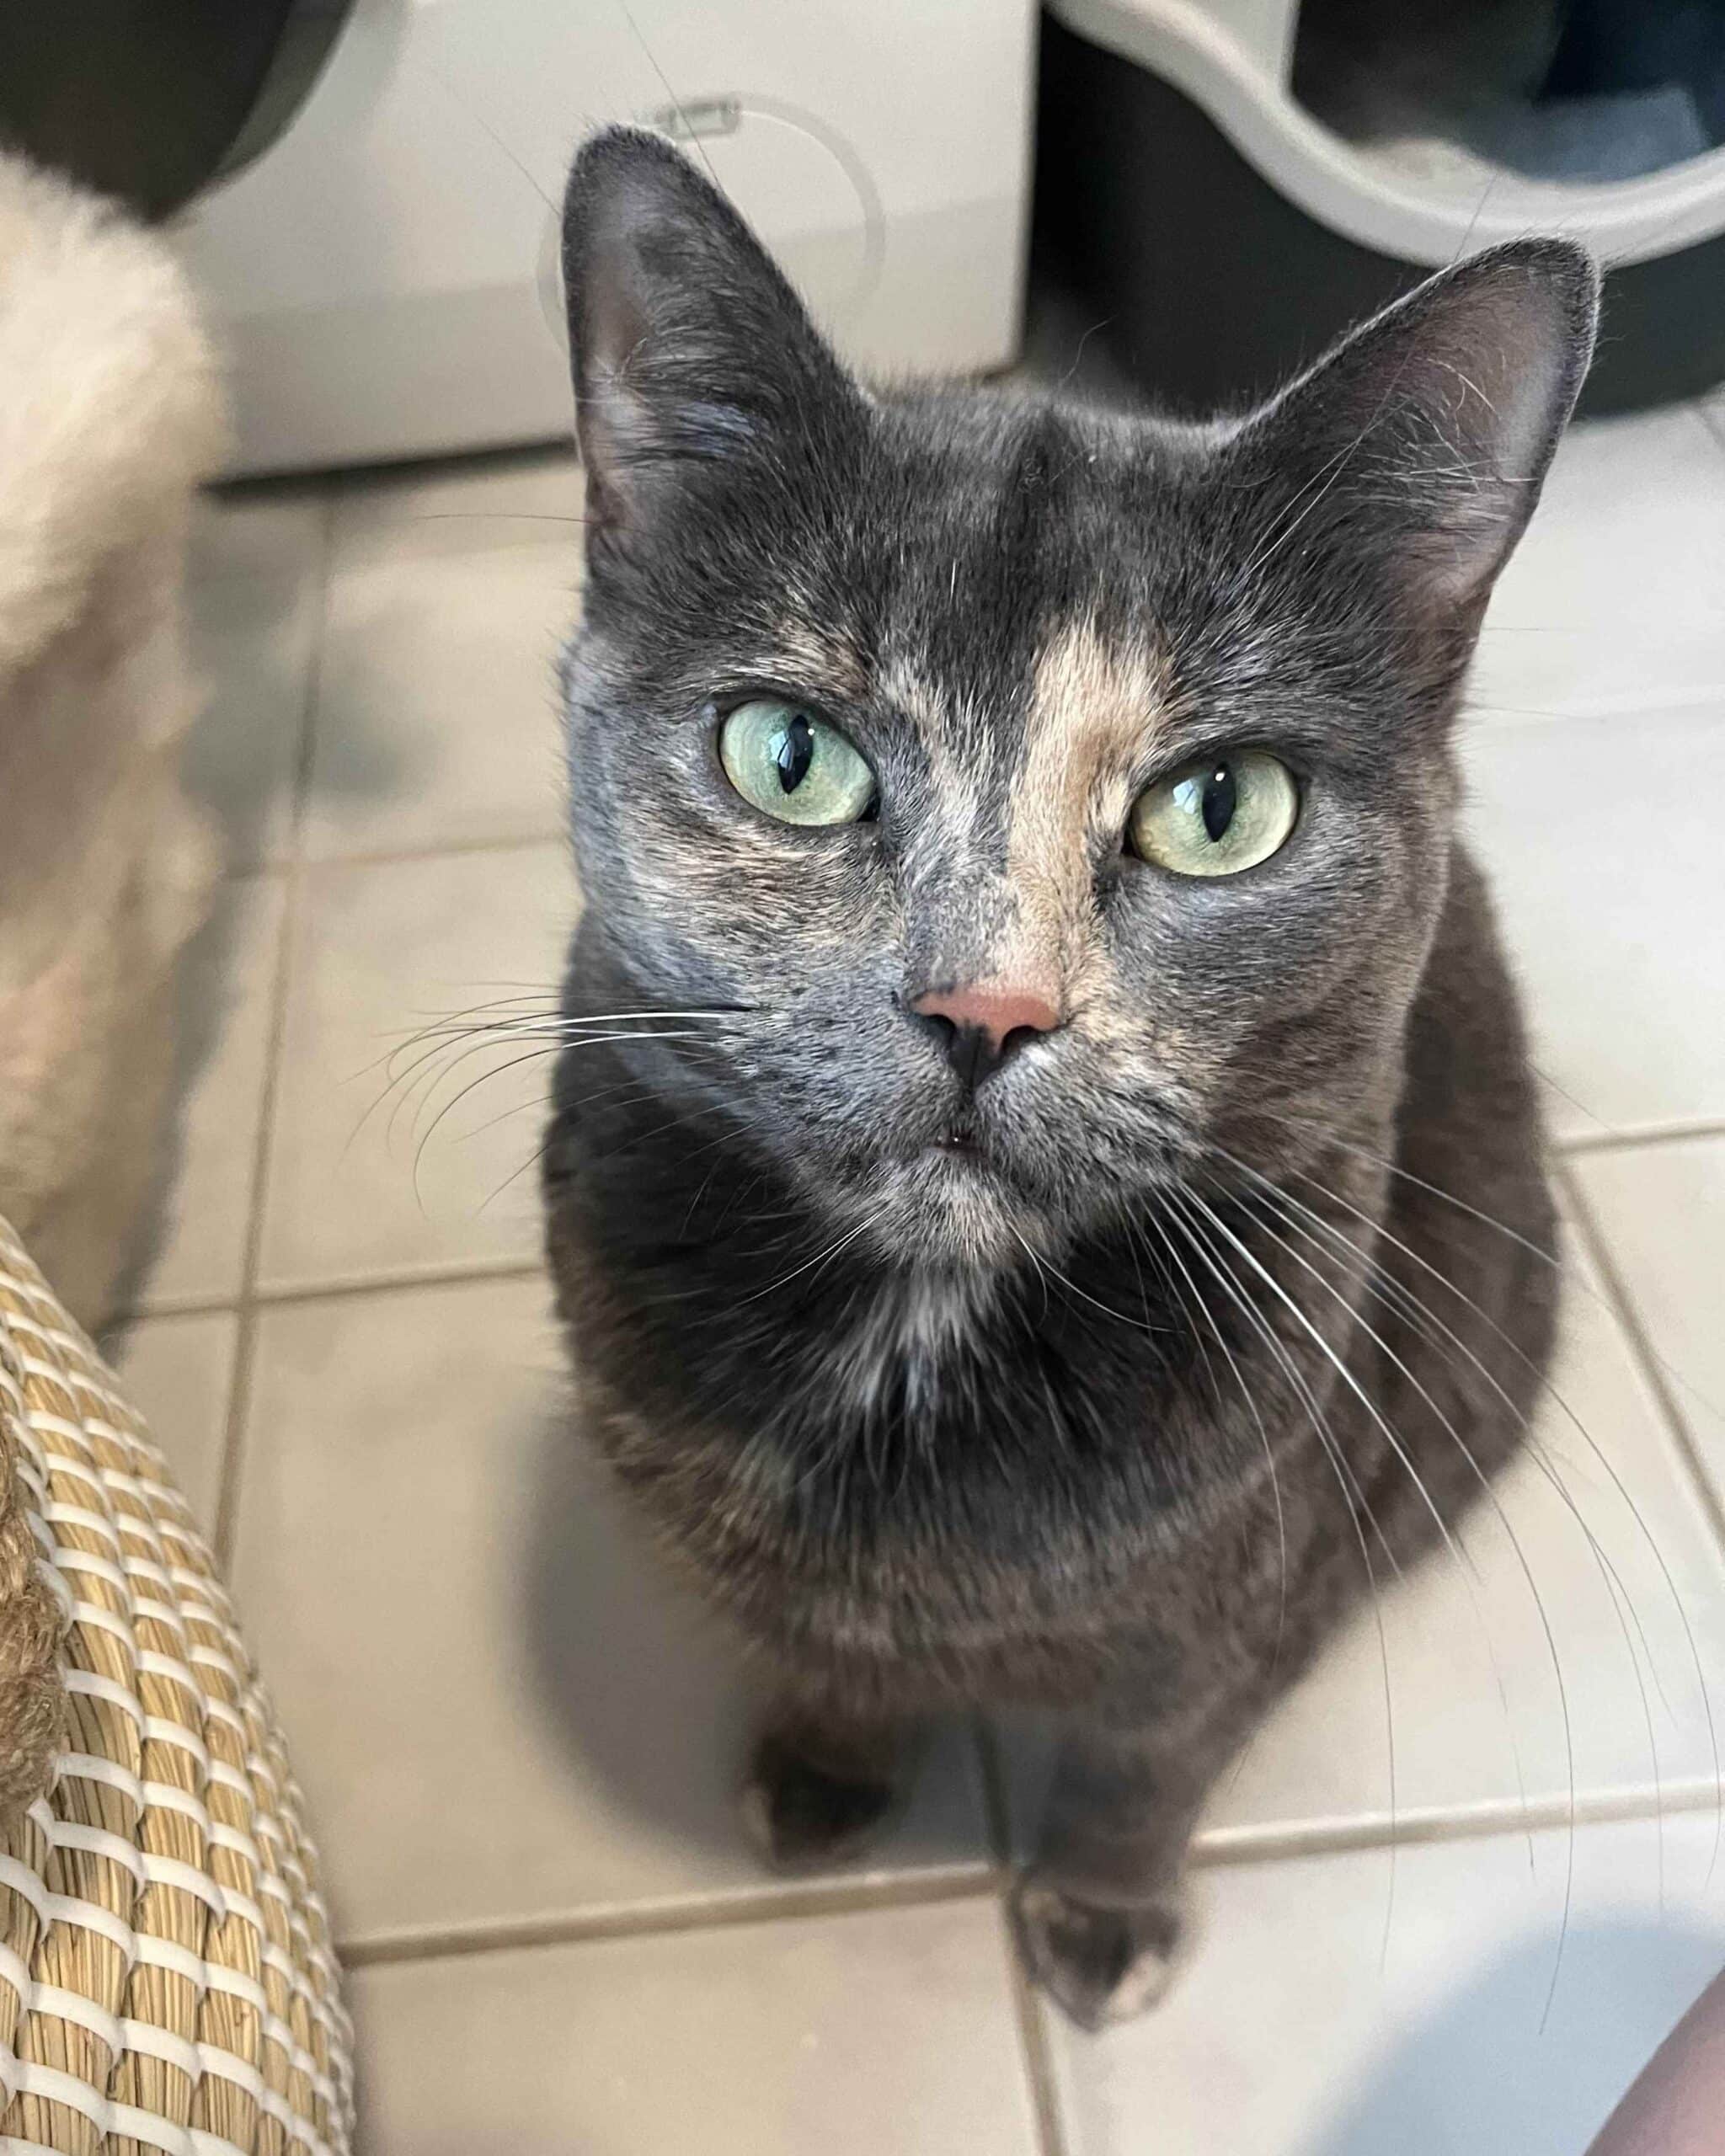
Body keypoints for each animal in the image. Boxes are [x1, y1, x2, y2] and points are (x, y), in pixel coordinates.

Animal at [542, 124, 1596, 2027]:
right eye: (789, 755)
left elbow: (1146, 1756)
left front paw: (1101, 1913)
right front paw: (824, 1765)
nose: (984, 1005)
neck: (919, 1335)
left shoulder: (1234, 1600)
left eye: (1220, 806)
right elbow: (818, 1650)